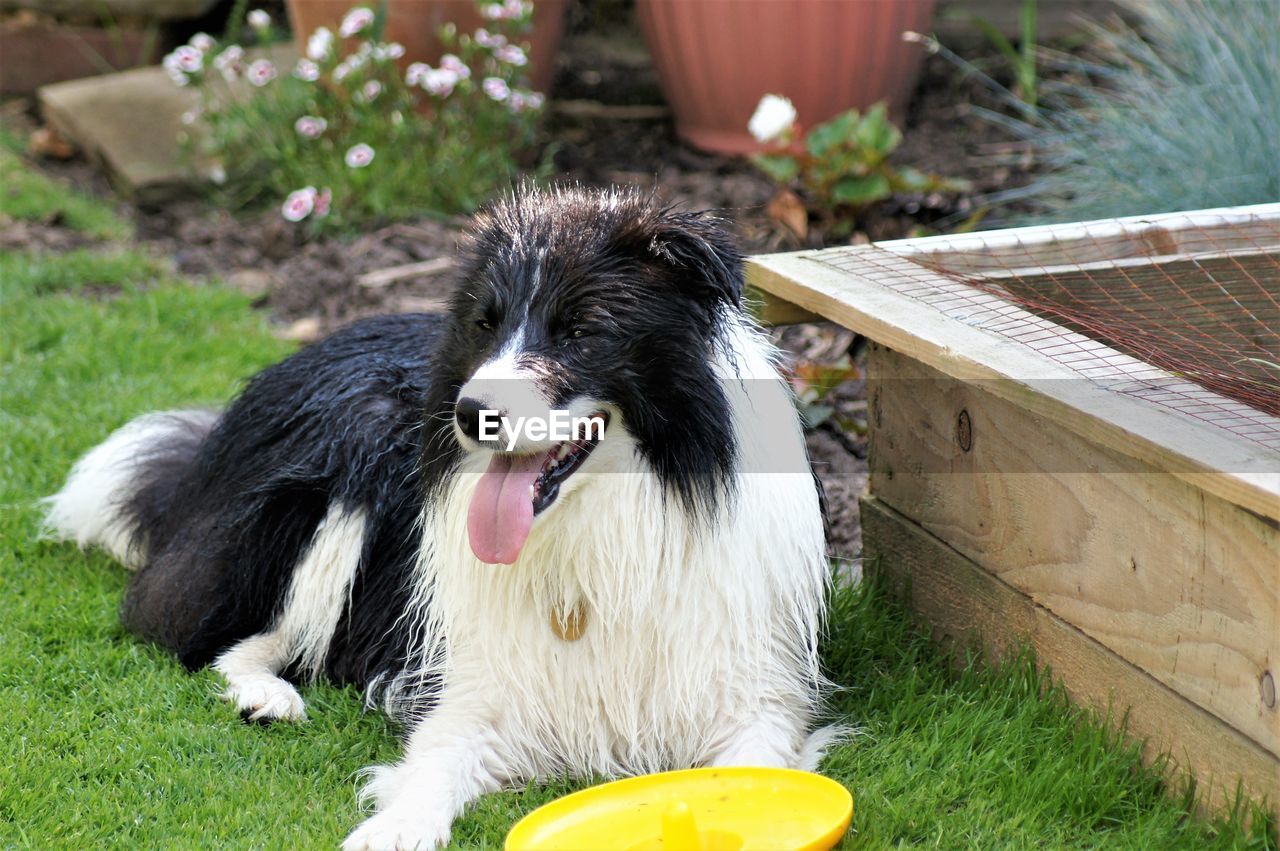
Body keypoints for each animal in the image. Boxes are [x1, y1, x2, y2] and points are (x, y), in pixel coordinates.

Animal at [45, 188, 829, 849]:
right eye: (486, 324)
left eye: (582, 330)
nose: (470, 412)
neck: (604, 523)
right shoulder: (474, 680)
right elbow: (435, 760)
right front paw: (393, 828)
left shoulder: (760, 692)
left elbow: (760, 771)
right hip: (339, 473)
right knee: (221, 634)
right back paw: (267, 694)